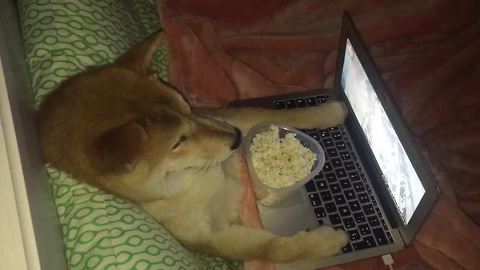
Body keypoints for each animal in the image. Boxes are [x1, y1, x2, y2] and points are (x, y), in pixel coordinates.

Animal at [39, 30, 348, 262]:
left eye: (186, 107)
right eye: (178, 141)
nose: (236, 139)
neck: (191, 176)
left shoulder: (223, 117)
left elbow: (278, 115)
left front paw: (329, 112)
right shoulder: (214, 238)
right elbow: (273, 248)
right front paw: (325, 243)